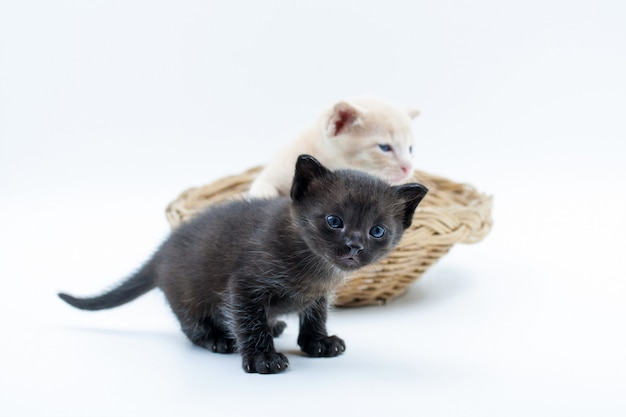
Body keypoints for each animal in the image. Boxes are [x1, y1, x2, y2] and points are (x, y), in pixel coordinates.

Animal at [58, 154, 426, 374]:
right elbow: (250, 322)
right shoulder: (246, 286)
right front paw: (263, 358)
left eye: (377, 231)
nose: (354, 246)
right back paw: (219, 339)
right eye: (334, 221)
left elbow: (314, 317)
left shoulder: (319, 296)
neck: (313, 265)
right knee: (192, 325)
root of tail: (161, 252)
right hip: (188, 294)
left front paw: (318, 343)